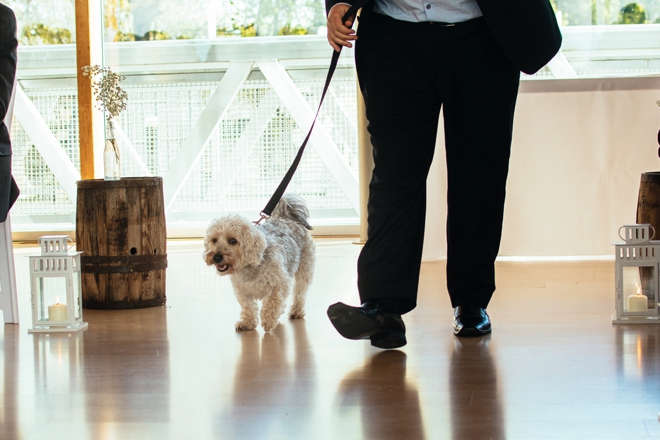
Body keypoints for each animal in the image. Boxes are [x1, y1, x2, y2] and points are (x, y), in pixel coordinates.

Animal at [202, 194, 316, 332]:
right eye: (214, 240)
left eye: (233, 240)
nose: (216, 257)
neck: (250, 267)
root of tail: (287, 218)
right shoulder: (241, 290)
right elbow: (248, 306)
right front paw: (247, 322)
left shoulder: (280, 283)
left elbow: (273, 302)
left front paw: (268, 321)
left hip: (304, 272)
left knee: (300, 294)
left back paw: (296, 311)